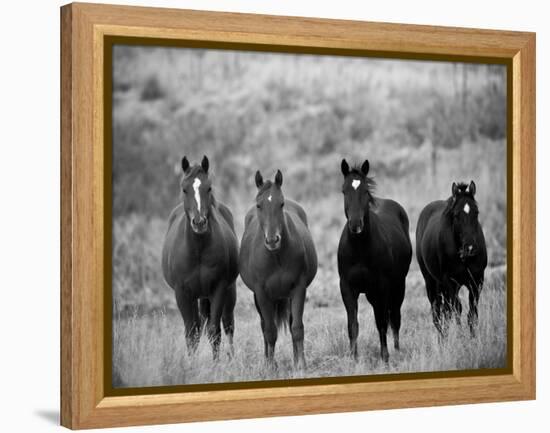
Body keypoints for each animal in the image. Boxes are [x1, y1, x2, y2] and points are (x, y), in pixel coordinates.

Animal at [160, 155, 237, 358]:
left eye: (208, 188)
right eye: (184, 189)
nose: (199, 222)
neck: (198, 251)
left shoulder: (218, 289)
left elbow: (214, 331)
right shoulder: (182, 293)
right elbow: (191, 333)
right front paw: (191, 363)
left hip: (228, 291)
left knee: (228, 324)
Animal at [240, 169, 320, 368]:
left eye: (281, 203)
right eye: (259, 205)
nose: (272, 240)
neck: (276, 257)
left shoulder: (298, 289)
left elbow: (297, 327)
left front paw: (301, 364)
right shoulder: (261, 294)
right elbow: (270, 331)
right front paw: (270, 366)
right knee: (264, 326)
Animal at [336, 159, 414, 362]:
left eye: (365, 191)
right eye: (344, 190)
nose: (356, 225)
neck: (360, 249)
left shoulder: (382, 287)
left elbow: (382, 323)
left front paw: (385, 357)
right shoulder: (347, 288)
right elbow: (353, 325)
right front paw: (354, 358)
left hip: (397, 286)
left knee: (394, 318)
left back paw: (397, 350)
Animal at [416, 181, 490, 336]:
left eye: (476, 212)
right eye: (456, 215)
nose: (470, 248)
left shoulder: (477, 281)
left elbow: (472, 314)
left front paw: (473, 338)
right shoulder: (450, 282)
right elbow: (457, 309)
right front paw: (461, 337)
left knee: (445, 312)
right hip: (431, 282)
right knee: (438, 314)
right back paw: (442, 338)